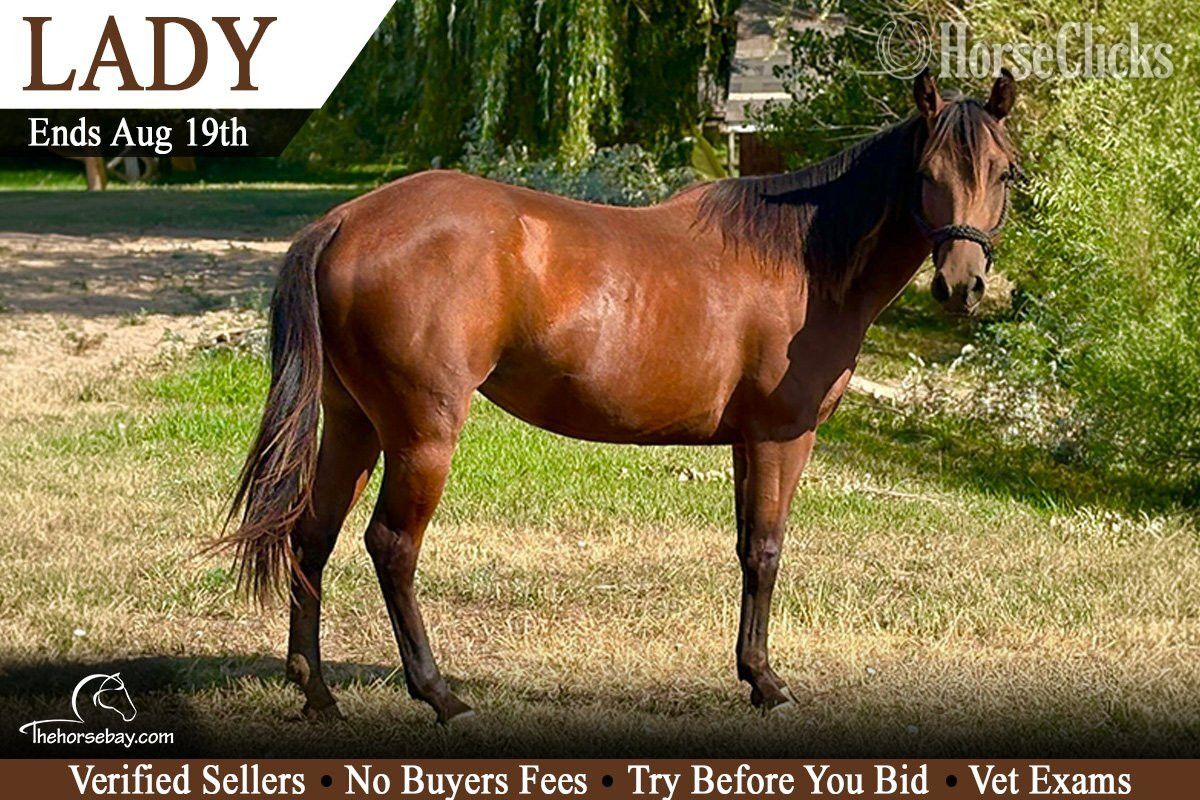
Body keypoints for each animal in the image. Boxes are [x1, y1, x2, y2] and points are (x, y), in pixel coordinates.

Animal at [221, 68, 1020, 724]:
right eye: (926, 170)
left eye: (1004, 173)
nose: (963, 285)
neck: (801, 259)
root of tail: (344, 221)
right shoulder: (782, 436)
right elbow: (766, 551)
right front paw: (768, 683)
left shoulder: (745, 442)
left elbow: (744, 549)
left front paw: (748, 672)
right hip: (421, 435)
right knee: (391, 546)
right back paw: (442, 696)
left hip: (353, 424)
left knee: (312, 535)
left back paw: (318, 694)